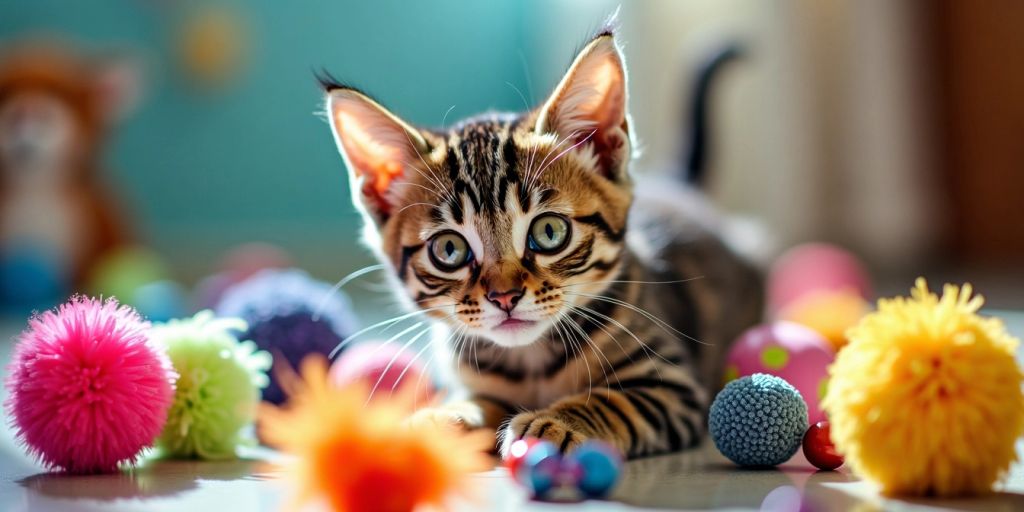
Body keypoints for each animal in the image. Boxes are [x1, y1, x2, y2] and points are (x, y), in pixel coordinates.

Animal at [323, 29, 765, 458]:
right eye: (449, 250)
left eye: (549, 232)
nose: (504, 296)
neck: (531, 360)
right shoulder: (477, 382)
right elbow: (477, 401)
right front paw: (443, 418)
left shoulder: (671, 384)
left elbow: (611, 401)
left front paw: (556, 422)